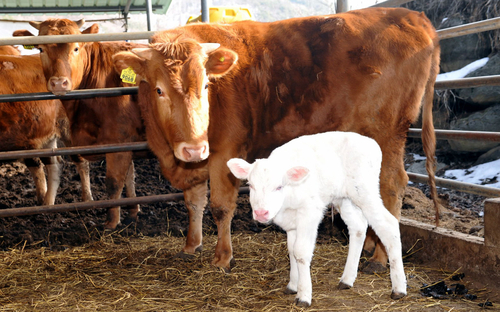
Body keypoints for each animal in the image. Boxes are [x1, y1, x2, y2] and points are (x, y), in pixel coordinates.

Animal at [114, 6, 442, 272]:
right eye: (159, 89)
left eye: (206, 85)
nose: (194, 149)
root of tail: (414, 16)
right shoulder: (194, 162)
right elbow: (194, 202)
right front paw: (191, 245)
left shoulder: (225, 152)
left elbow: (221, 206)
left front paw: (223, 257)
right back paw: (373, 244)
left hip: (387, 132)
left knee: (393, 185)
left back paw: (380, 258)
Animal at [227, 132, 406, 308]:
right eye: (250, 185)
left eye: (279, 186)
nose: (261, 213)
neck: (288, 198)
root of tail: (371, 142)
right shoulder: (292, 223)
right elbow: (291, 251)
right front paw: (293, 284)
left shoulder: (310, 213)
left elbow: (300, 252)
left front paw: (304, 295)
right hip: (344, 198)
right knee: (358, 228)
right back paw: (347, 279)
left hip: (365, 192)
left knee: (389, 225)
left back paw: (399, 288)